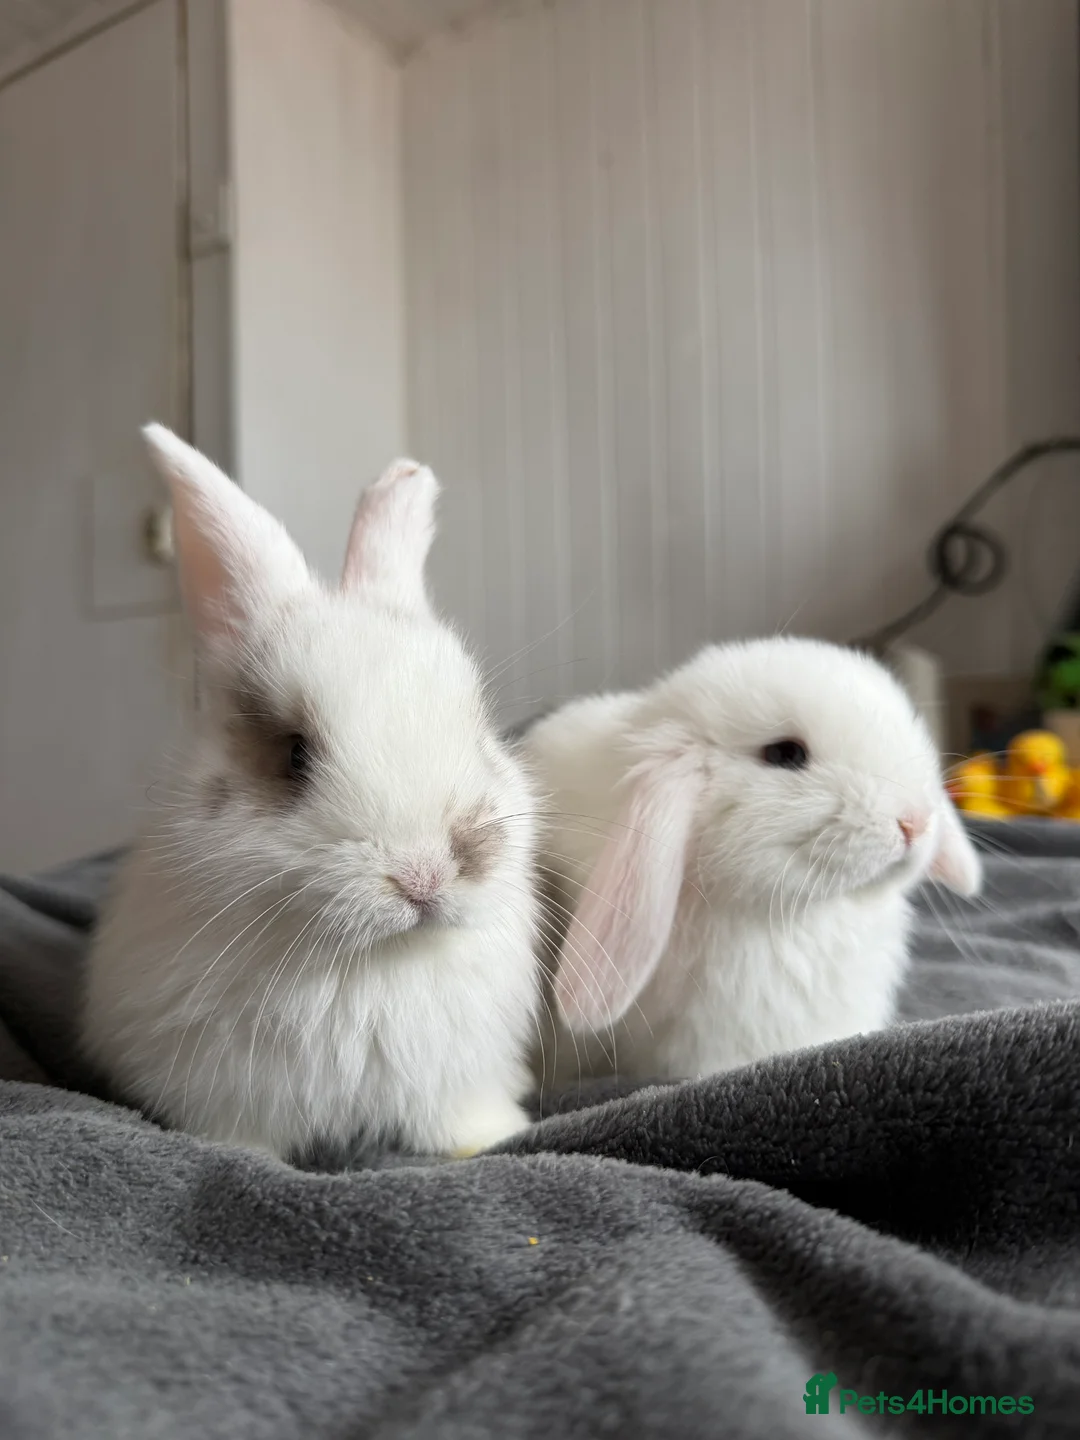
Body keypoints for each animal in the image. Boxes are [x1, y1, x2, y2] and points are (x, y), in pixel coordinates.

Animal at [81, 426, 541, 1162]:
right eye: (295, 755)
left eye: (478, 731)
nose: (424, 876)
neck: (369, 964)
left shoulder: (460, 1079)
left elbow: (462, 1120)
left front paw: (491, 1141)